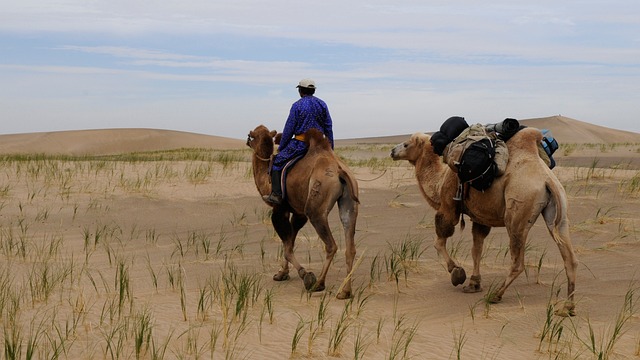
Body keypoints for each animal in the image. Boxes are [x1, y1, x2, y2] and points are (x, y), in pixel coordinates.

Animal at [246, 125, 360, 300]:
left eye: (251, 136)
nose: (248, 142)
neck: (266, 178)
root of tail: (339, 171)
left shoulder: (280, 209)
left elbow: (287, 247)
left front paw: (305, 274)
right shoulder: (298, 213)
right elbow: (290, 242)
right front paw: (282, 274)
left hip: (316, 208)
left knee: (331, 245)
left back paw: (318, 284)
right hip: (350, 201)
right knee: (350, 244)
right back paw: (345, 291)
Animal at [390, 126, 580, 316]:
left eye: (406, 144)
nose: (392, 151)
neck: (439, 181)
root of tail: (547, 180)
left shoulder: (448, 205)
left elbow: (439, 241)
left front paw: (457, 272)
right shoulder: (480, 217)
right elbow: (477, 249)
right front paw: (474, 283)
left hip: (518, 210)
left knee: (518, 261)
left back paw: (495, 295)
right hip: (559, 212)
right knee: (569, 258)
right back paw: (568, 307)